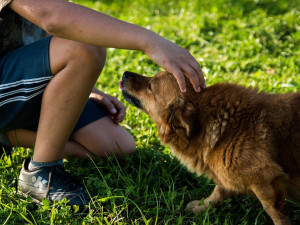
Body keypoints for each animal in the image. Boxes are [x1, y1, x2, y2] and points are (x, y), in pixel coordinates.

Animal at [121, 70, 300, 223]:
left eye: (150, 86)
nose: (125, 73)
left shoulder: (265, 178)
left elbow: (274, 211)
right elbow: (219, 190)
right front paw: (203, 206)